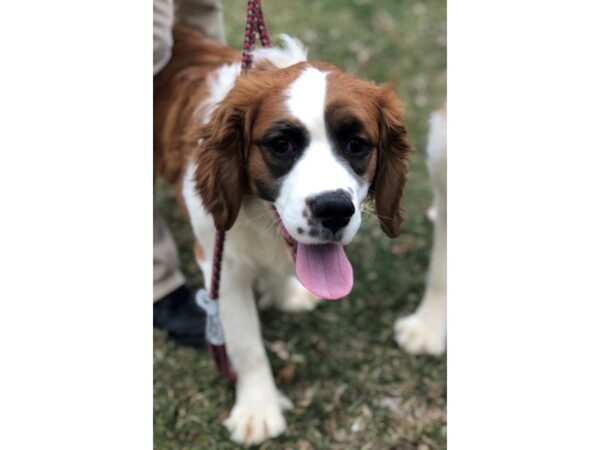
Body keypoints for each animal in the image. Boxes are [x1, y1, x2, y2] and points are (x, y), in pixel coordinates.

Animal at [152, 26, 410, 444]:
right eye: (281, 145)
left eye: (356, 145)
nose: (334, 209)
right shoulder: (220, 265)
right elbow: (246, 344)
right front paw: (258, 408)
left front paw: (285, 293)